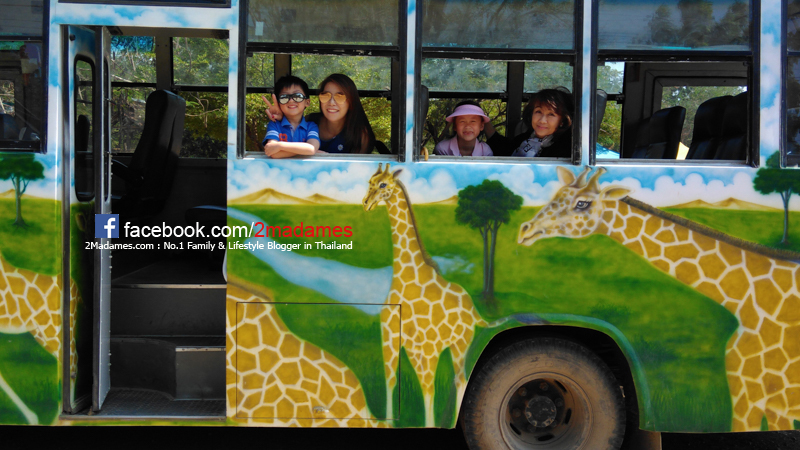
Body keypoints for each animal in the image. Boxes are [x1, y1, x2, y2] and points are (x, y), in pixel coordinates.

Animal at [362, 163, 490, 426]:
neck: (406, 277)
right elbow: (391, 378)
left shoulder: (429, 346)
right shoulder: (392, 336)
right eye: (369, 182)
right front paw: (389, 422)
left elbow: (428, 388)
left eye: (383, 184)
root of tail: (474, 310)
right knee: (455, 379)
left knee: (459, 379)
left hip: (461, 343)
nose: (366, 203)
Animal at [517, 166, 800, 432]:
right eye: (556, 195)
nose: (524, 231)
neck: (747, 302)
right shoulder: (769, 402)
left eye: (582, 203)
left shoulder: (756, 396)